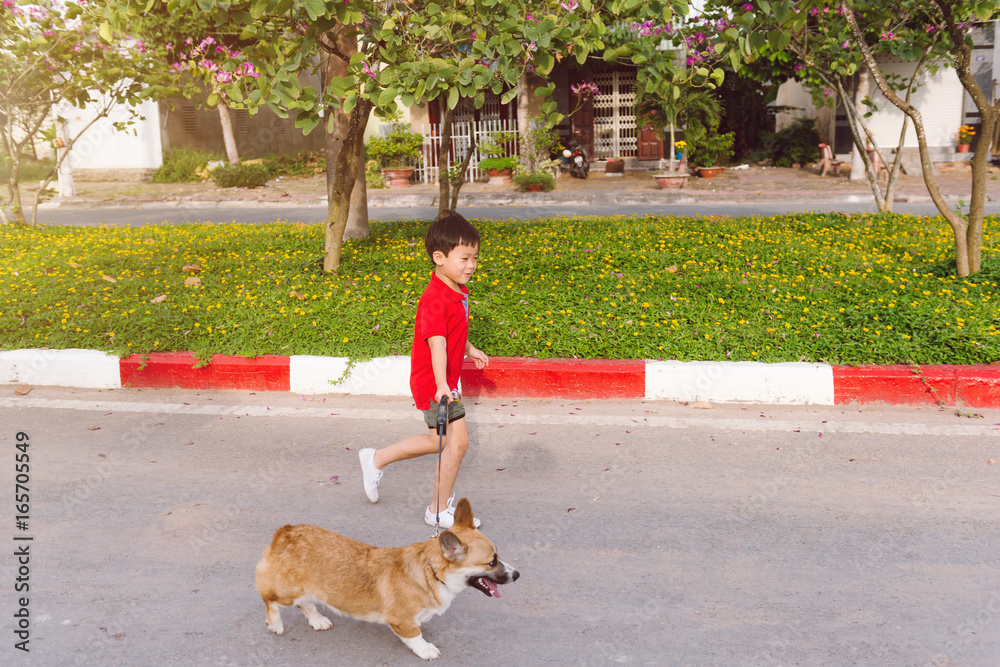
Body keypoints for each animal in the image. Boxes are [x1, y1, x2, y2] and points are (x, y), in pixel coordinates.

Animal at [254, 498, 520, 660]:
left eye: (497, 555)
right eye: (491, 561)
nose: (517, 574)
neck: (430, 573)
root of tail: (286, 532)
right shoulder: (401, 619)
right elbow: (415, 635)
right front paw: (425, 649)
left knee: (306, 602)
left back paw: (318, 620)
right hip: (286, 592)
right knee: (270, 600)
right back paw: (275, 624)